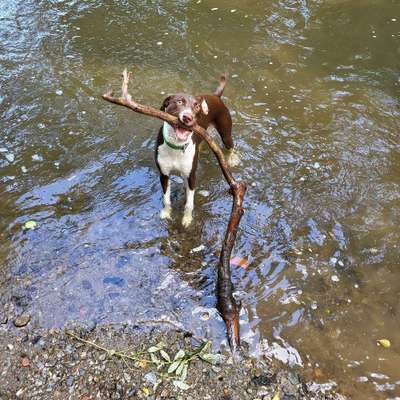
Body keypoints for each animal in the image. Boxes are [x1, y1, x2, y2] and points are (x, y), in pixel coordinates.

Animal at [155, 74, 238, 227]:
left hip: (226, 133)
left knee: (230, 146)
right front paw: (166, 213)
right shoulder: (164, 174)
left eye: (197, 106)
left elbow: (189, 203)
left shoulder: (191, 176)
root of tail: (215, 96)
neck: (177, 146)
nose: (188, 117)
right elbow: (166, 199)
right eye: (179, 101)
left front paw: (187, 219)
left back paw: (232, 158)